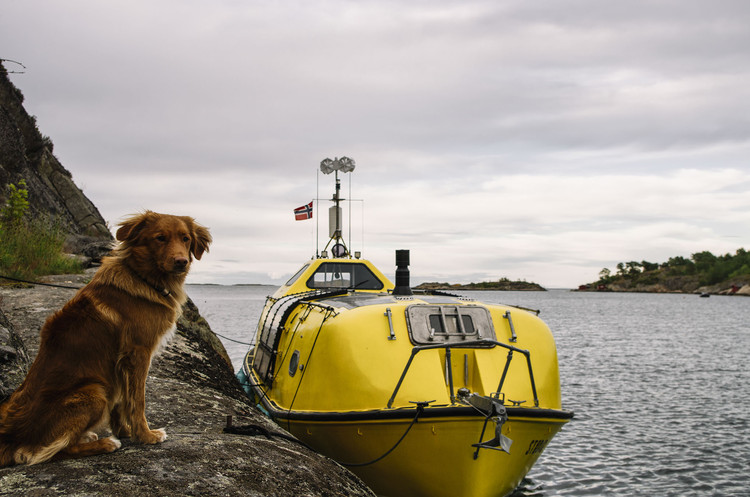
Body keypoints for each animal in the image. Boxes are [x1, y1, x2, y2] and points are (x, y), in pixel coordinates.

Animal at [0, 210, 212, 464]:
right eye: (160, 238)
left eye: (185, 239)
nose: (181, 261)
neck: (143, 277)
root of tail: (12, 437)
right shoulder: (138, 352)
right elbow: (137, 400)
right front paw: (146, 436)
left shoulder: (119, 364)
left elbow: (122, 402)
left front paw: (126, 431)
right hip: (94, 392)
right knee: (50, 451)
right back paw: (105, 444)